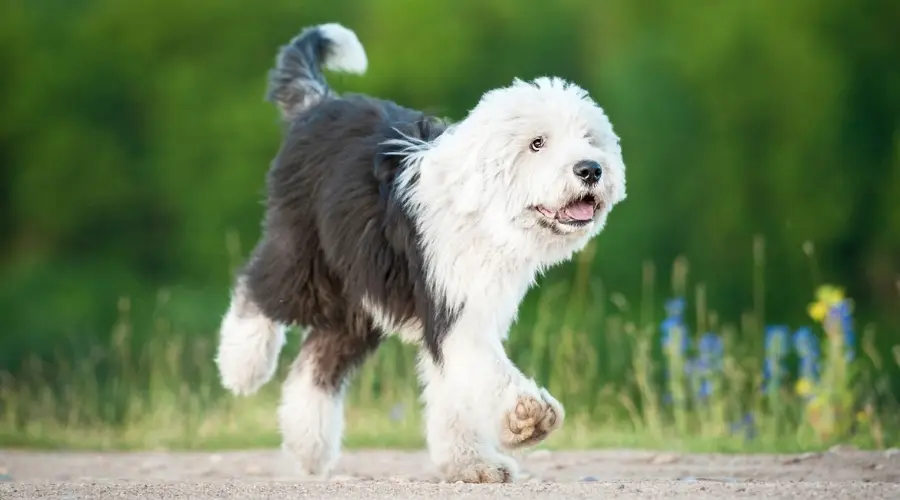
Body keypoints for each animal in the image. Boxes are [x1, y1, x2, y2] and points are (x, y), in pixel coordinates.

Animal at [216, 21, 624, 482]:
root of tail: (319, 104)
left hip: (359, 299)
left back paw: (308, 449)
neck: (484, 210)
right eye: (538, 143)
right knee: (259, 288)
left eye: (588, 138)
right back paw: (242, 366)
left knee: (318, 362)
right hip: (306, 255)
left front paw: (471, 464)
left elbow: (453, 391)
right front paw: (525, 418)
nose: (591, 169)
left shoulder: (467, 306)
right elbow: (484, 368)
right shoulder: (453, 306)